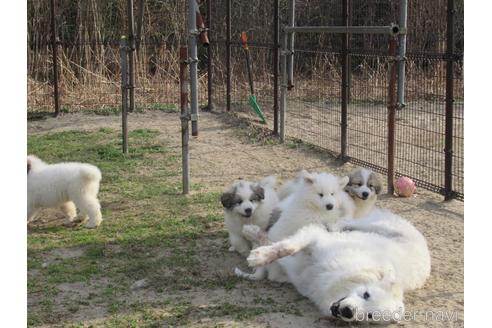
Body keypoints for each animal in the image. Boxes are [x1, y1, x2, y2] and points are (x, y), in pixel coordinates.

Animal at [246, 209, 430, 324]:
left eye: (370, 316)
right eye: (366, 294)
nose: (348, 311)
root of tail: (425, 248)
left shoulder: (294, 271)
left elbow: (277, 246)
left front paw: (258, 244)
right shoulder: (316, 238)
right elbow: (286, 247)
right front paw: (258, 253)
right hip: (375, 226)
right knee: (347, 222)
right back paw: (335, 225)